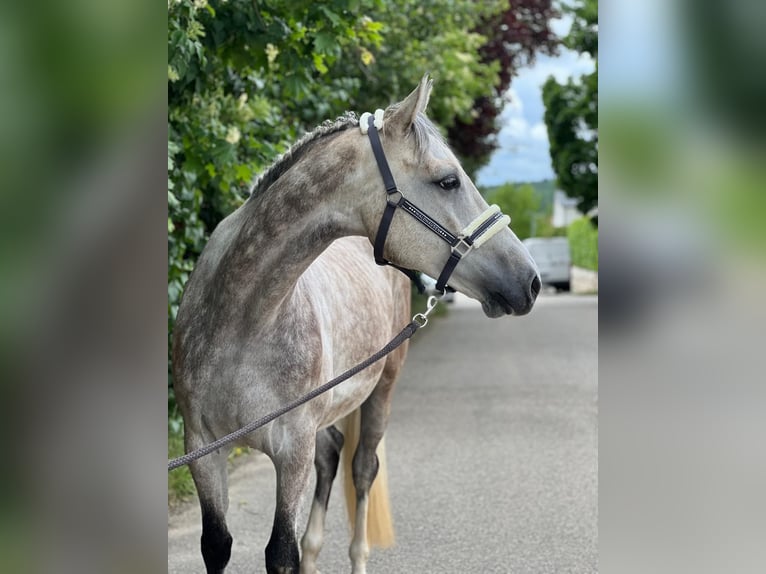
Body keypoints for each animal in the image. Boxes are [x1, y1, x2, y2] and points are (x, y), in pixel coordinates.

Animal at [172, 74, 541, 574]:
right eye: (447, 180)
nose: (531, 281)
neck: (243, 322)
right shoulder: (203, 449)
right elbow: (217, 545)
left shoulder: (292, 451)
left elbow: (281, 553)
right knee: (331, 458)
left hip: (382, 390)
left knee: (362, 469)